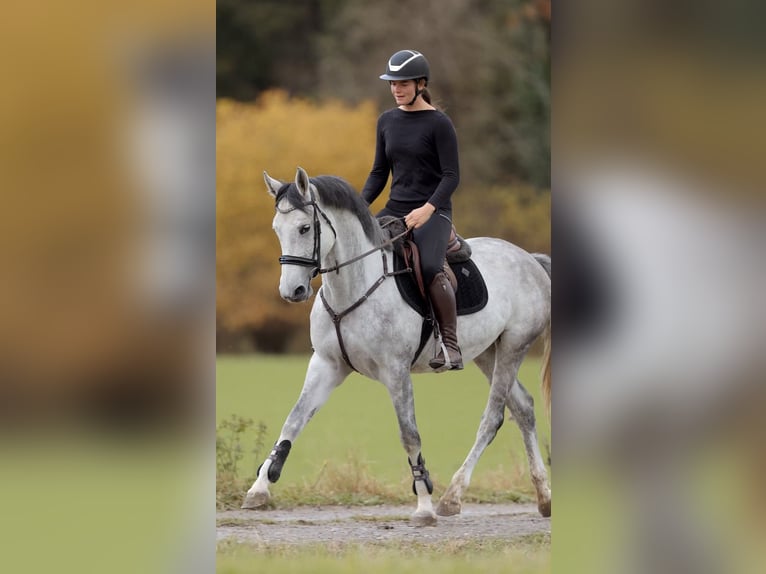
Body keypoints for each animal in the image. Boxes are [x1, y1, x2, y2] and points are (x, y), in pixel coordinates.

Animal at [242, 167, 551, 525]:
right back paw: (544, 497)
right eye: (277, 229)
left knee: (493, 417)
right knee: (524, 408)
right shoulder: (327, 365)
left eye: (305, 228)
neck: (354, 286)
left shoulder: (396, 371)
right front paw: (259, 488)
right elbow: (294, 419)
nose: (291, 291)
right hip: (489, 353)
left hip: (514, 347)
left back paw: (452, 497)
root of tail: (530, 259)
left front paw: (424, 506)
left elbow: (409, 435)